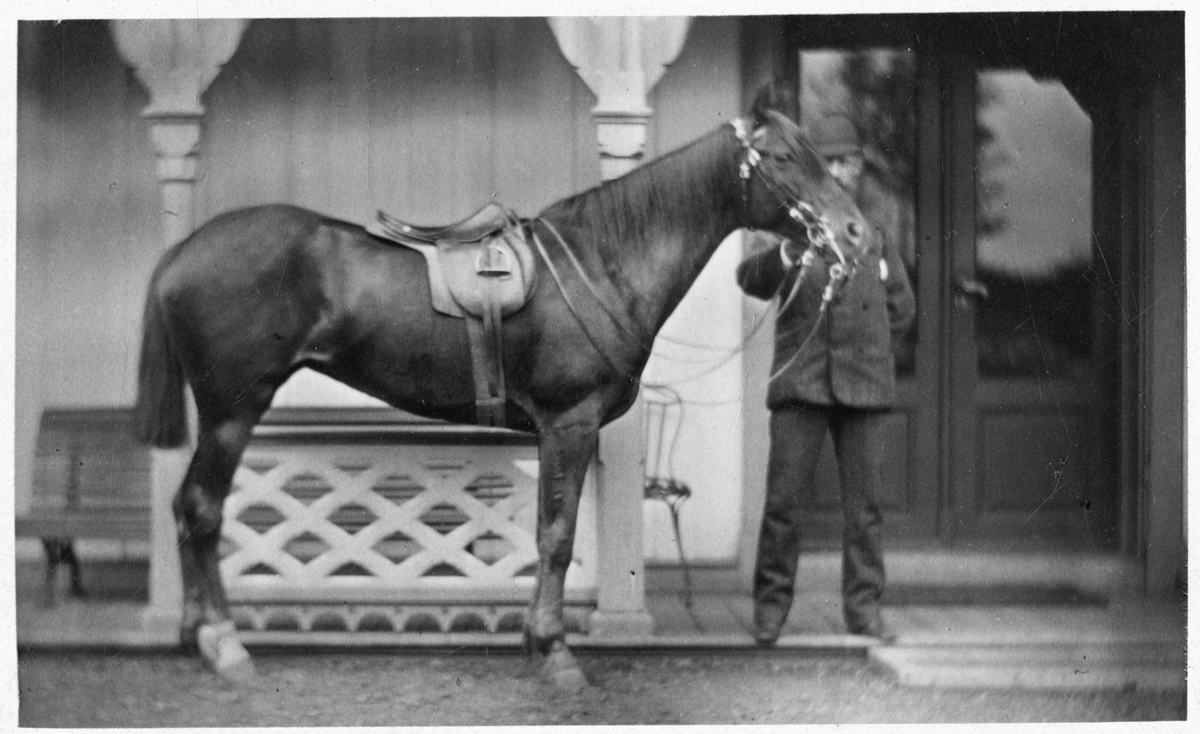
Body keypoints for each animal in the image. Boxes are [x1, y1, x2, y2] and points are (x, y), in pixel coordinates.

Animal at [131, 90, 868, 686]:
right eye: (784, 157)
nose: (857, 232)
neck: (604, 261)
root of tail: (180, 251)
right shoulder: (569, 423)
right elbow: (558, 536)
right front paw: (556, 653)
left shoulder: (556, 431)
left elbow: (548, 533)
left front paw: (536, 643)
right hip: (231, 412)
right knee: (201, 510)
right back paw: (225, 644)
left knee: (188, 509)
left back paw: (197, 638)